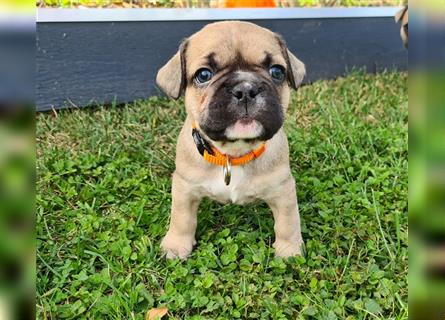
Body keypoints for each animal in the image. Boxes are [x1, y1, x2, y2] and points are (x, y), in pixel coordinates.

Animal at [156, 21, 306, 258]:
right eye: (204, 75)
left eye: (277, 71)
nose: (245, 89)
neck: (233, 153)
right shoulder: (184, 186)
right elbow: (181, 218)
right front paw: (176, 245)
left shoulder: (283, 189)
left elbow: (288, 222)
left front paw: (290, 251)